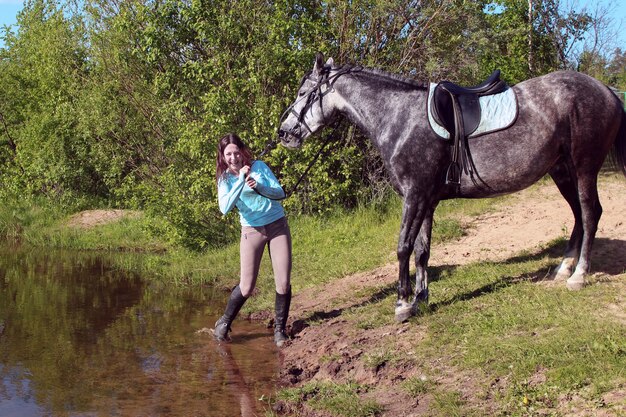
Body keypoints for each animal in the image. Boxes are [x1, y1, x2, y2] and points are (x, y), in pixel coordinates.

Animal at [280, 52, 624, 322]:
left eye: (304, 91)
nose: (284, 132)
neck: (400, 118)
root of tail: (607, 91)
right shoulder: (426, 201)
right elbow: (422, 250)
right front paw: (420, 299)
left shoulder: (415, 196)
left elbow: (403, 247)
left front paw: (402, 304)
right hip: (562, 171)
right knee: (578, 216)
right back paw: (564, 268)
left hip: (584, 167)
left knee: (590, 213)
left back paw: (578, 275)